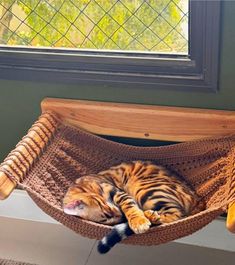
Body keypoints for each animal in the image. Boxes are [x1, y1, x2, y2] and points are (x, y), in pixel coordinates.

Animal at [63, 160, 204, 253]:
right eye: (108, 220)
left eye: (107, 214)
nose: (120, 216)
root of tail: (197, 198)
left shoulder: (118, 192)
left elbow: (131, 208)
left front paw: (139, 221)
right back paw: (151, 215)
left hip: (144, 188)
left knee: (176, 214)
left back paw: (150, 216)